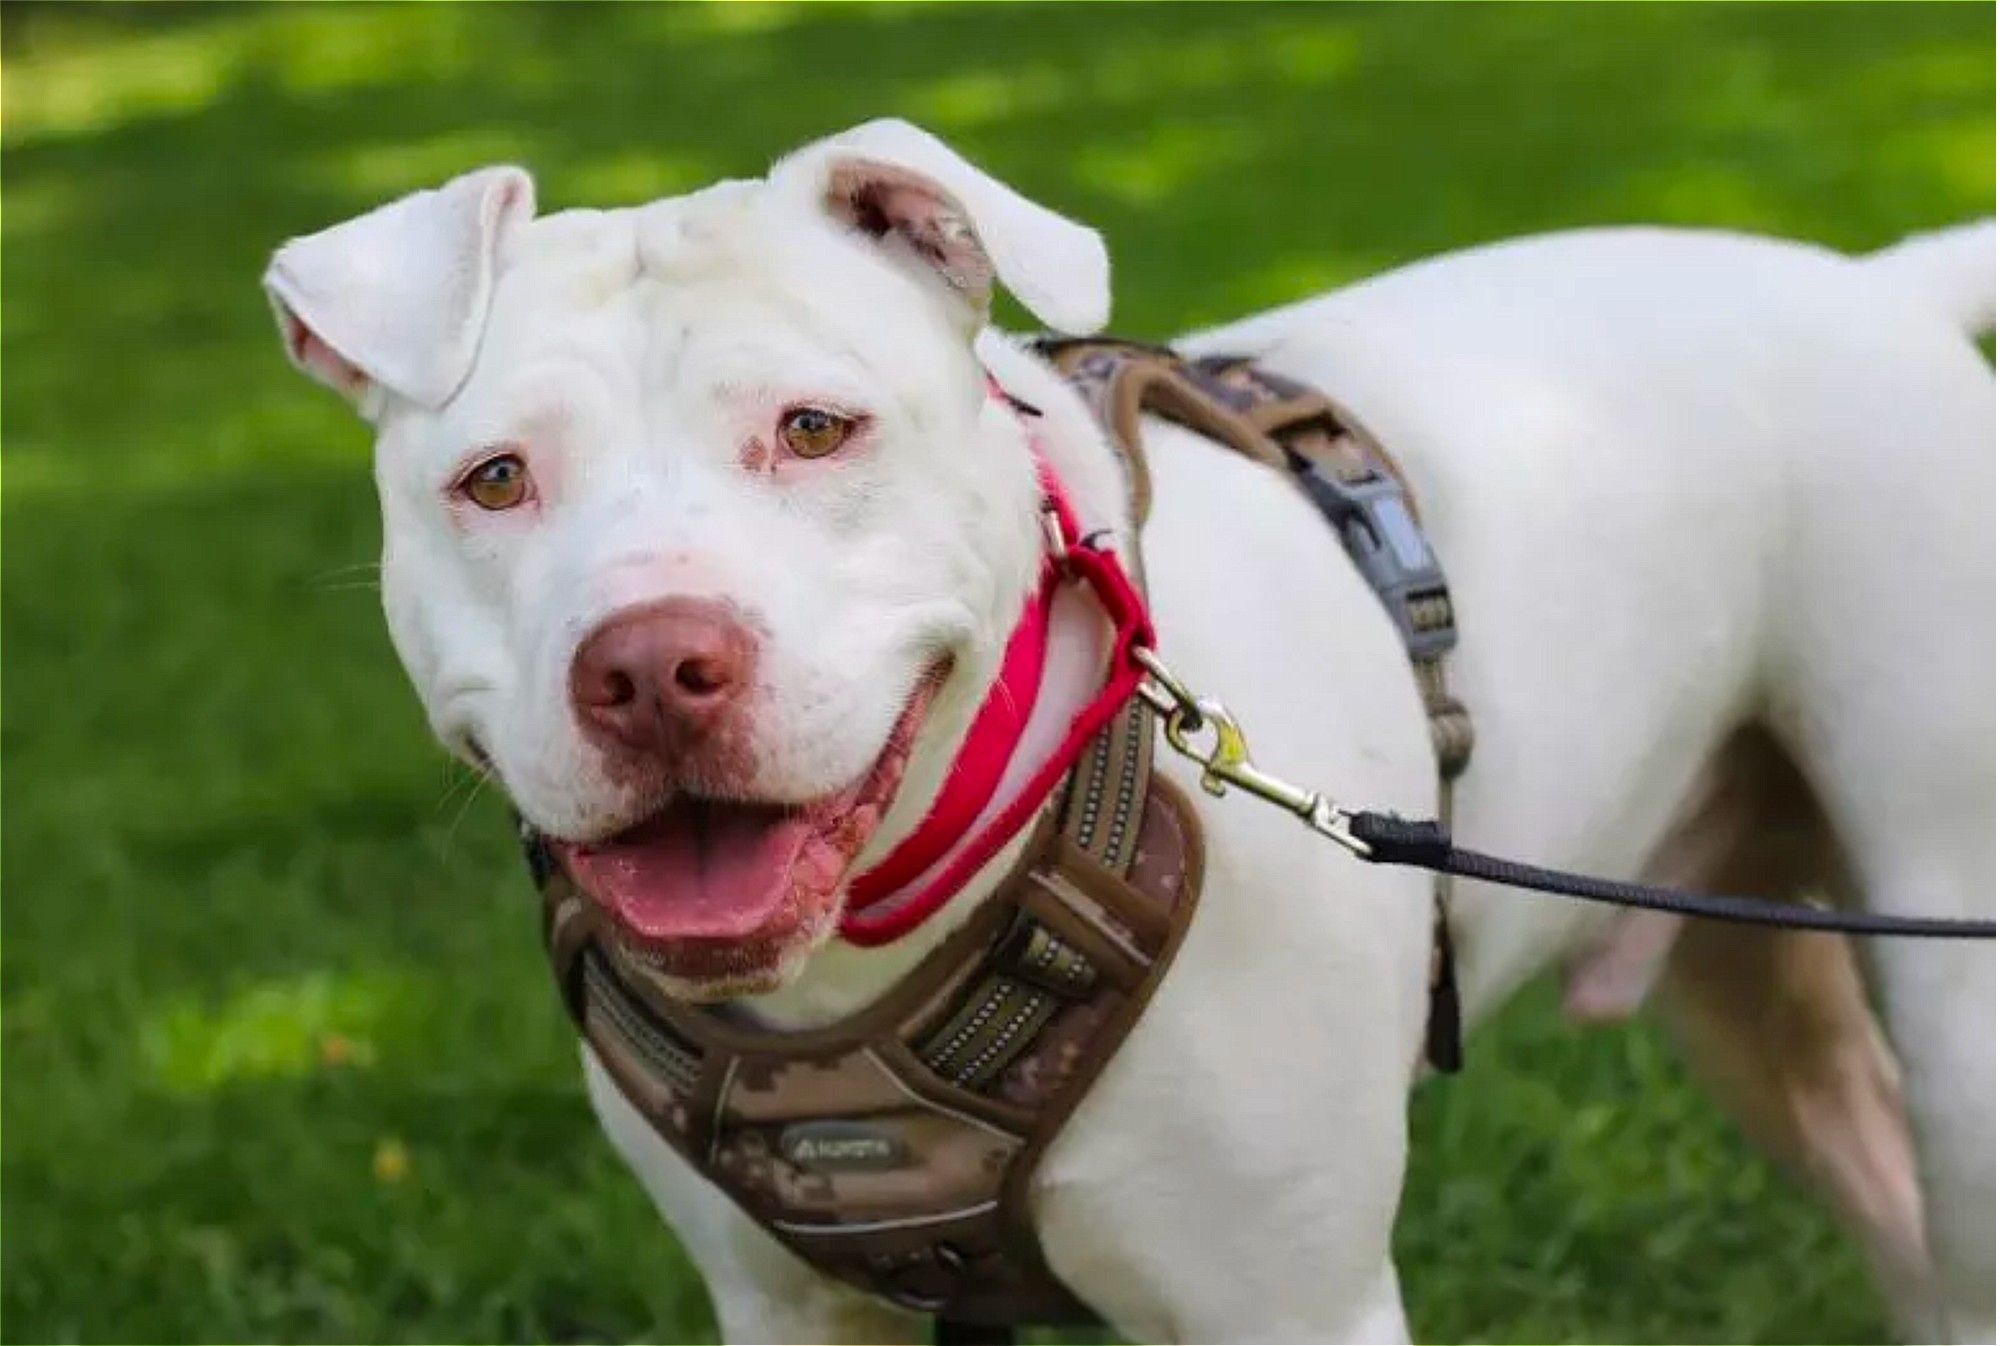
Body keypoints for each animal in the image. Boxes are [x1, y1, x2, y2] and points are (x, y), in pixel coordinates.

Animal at [262, 121, 1984, 1336]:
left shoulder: (1289, 1303)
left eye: (816, 429)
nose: (649, 662)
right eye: (496, 479)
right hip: (1747, 970)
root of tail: (1874, 278)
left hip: (1956, 991)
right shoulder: (787, 1306)